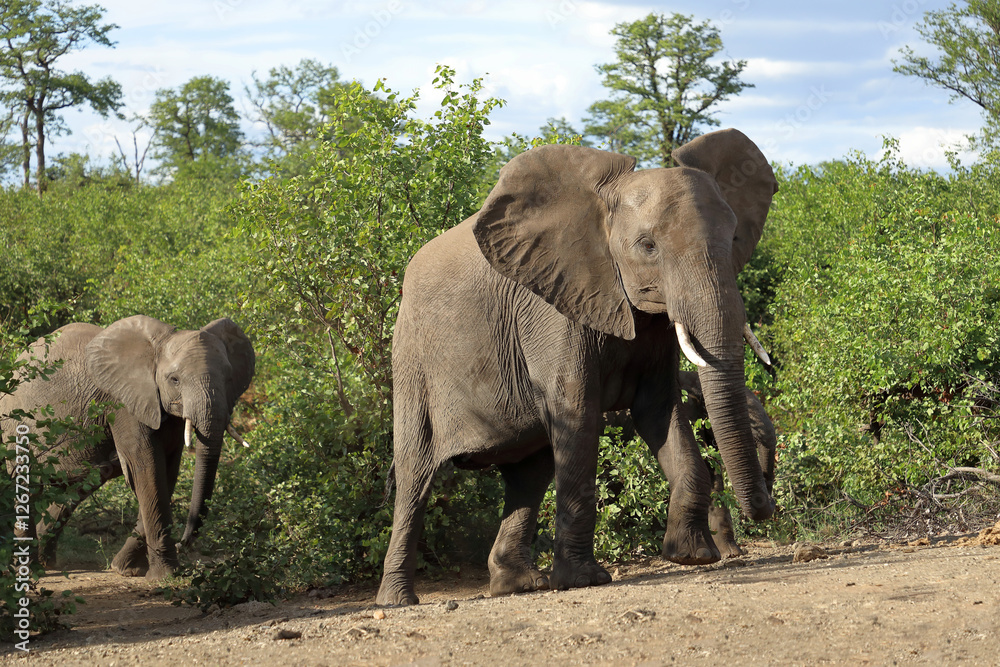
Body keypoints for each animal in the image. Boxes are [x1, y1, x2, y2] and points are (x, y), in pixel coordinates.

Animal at [0, 315, 254, 579]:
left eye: (229, 378)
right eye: (174, 380)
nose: (182, 543)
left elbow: (167, 471)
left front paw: (125, 569)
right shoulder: (122, 404)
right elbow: (147, 468)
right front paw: (165, 576)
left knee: (84, 481)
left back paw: (46, 562)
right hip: (15, 423)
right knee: (29, 483)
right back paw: (30, 568)